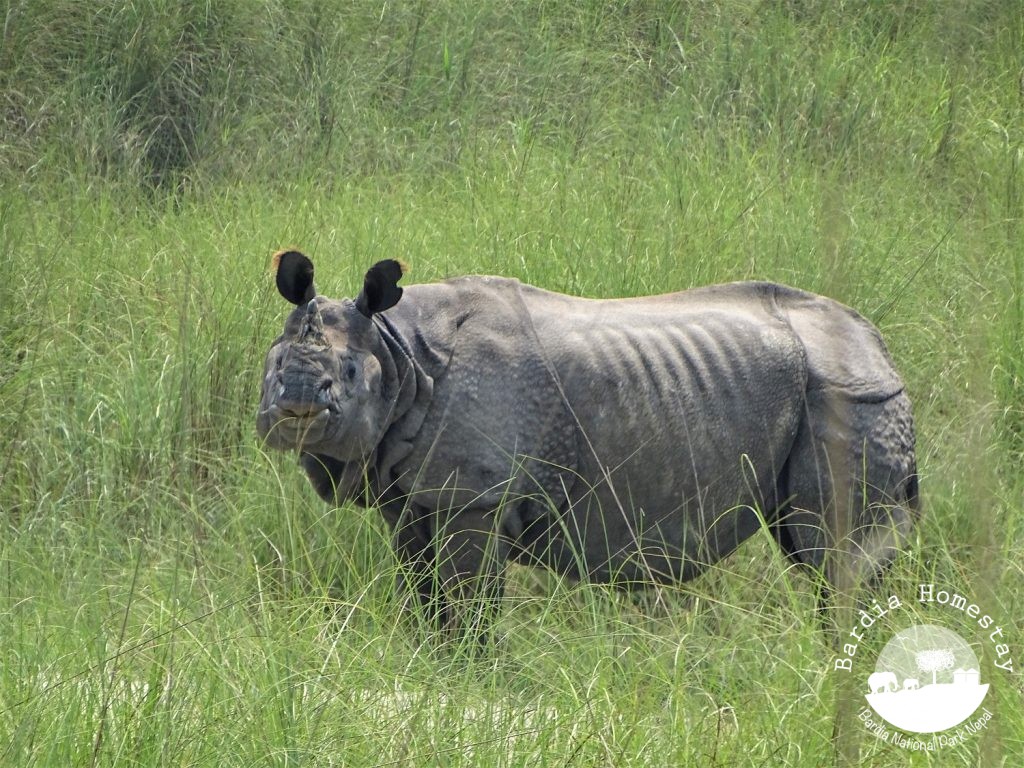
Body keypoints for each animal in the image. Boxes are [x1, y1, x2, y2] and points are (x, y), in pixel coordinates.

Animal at [257, 251, 918, 640]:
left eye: (346, 376)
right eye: (274, 364)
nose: (294, 408)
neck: (398, 349)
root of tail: (879, 345)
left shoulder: (473, 496)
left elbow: (468, 601)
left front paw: (469, 669)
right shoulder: (412, 493)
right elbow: (423, 590)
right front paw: (431, 657)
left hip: (853, 395)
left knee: (838, 558)